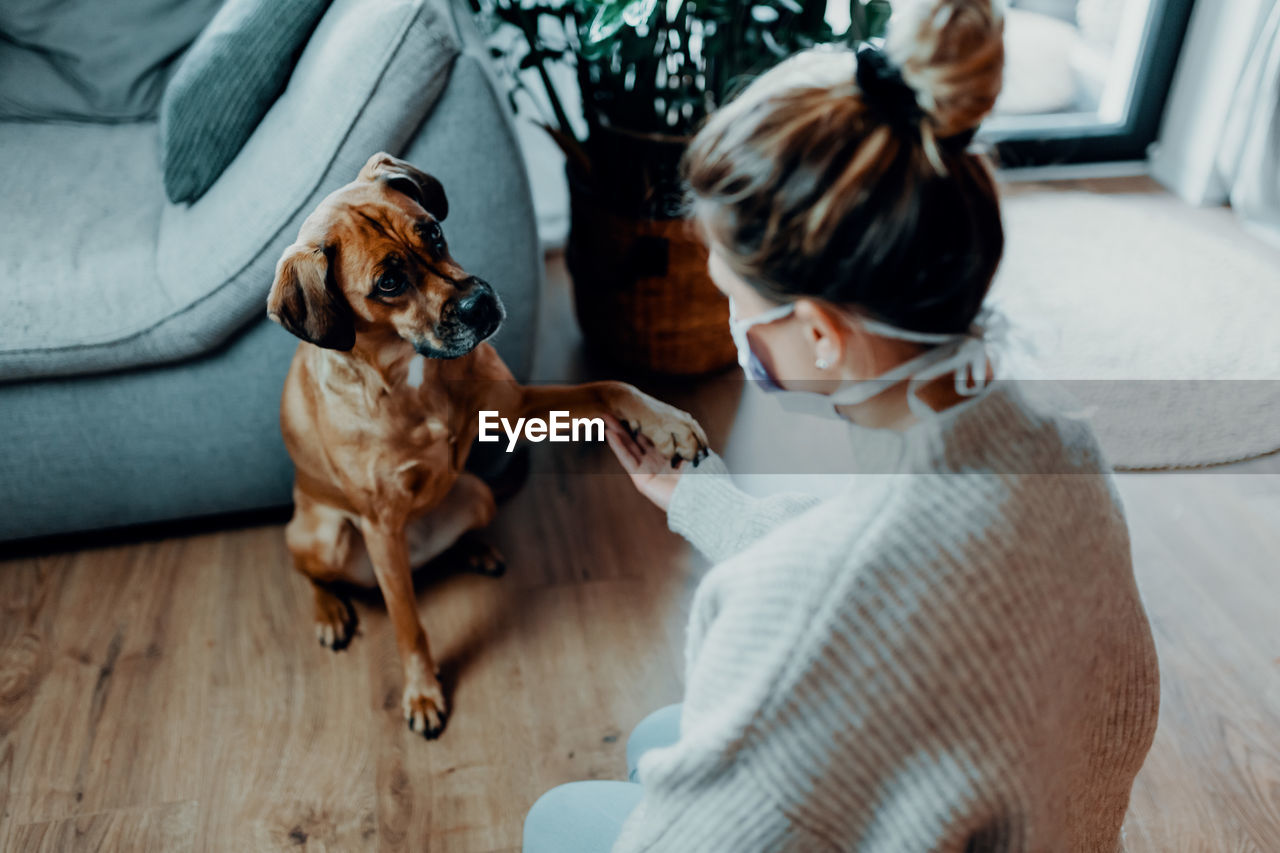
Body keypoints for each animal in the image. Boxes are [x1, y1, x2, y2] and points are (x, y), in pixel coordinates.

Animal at [268, 153, 706, 737]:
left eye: (433, 232)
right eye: (389, 282)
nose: (480, 304)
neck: (408, 371)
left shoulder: (515, 407)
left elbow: (609, 386)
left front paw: (665, 421)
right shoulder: (380, 525)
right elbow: (407, 623)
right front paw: (422, 691)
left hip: (476, 494)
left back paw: (473, 548)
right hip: (330, 536)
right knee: (312, 572)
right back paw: (330, 612)